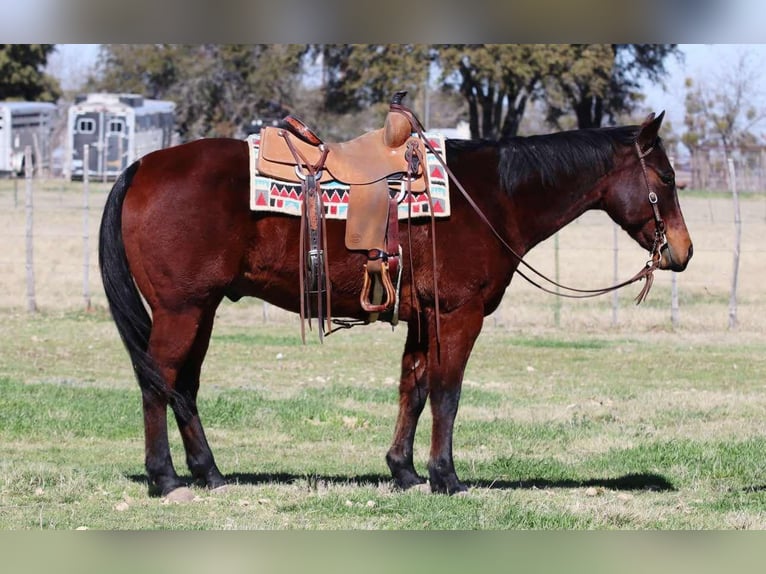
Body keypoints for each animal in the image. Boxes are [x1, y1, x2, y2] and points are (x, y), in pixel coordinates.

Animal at [99, 111, 693, 496]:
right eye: (666, 177)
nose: (682, 252)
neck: (493, 197)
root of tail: (141, 167)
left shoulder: (424, 317)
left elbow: (415, 387)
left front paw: (404, 471)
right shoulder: (458, 315)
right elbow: (448, 394)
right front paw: (446, 477)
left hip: (201, 309)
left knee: (184, 385)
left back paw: (209, 473)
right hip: (182, 309)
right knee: (159, 380)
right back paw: (166, 479)